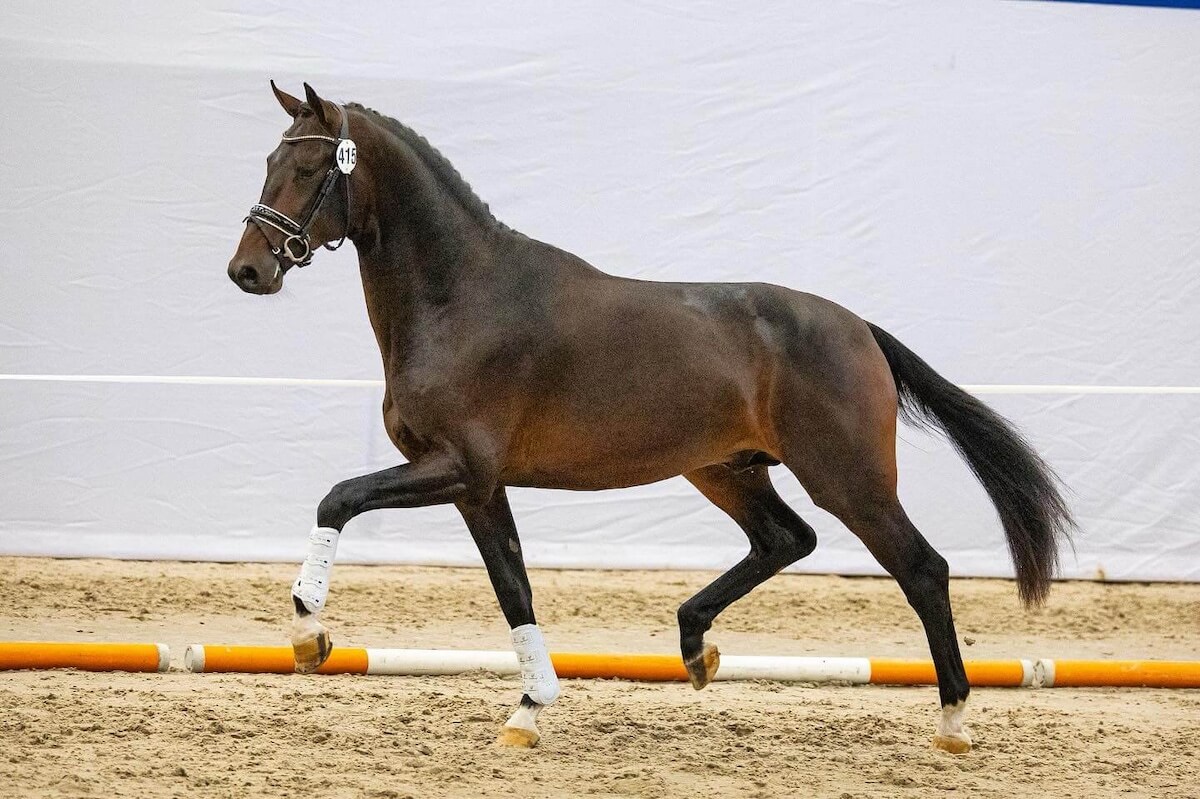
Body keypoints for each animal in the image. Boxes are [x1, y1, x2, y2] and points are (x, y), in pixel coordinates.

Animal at [227, 82, 1074, 753]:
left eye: (310, 169)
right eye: (268, 161)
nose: (248, 269)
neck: (460, 296)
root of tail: (858, 326)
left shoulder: (455, 467)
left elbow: (337, 497)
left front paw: (309, 633)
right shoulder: (478, 487)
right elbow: (514, 588)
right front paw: (529, 710)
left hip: (849, 479)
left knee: (922, 567)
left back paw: (954, 721)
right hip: (726, 470)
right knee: (786, 539)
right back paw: (696, 647)